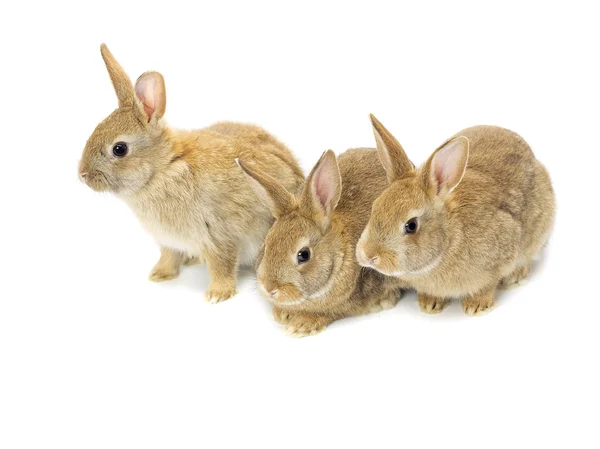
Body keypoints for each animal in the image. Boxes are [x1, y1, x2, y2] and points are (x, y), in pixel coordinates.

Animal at [78, 43, 304, 302]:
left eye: (119, 149)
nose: (82, 174)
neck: (164, 168)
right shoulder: (168, 241)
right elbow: (169, 256)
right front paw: (159, 275)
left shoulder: (218, 235)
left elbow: (222, 265)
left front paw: (217, 295)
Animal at [356, 114, 556, 314]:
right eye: (375, 207)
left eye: (411, 225)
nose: (369, 255)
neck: (449, 240)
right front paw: (429, 305)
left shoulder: (500, 255)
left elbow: (487, 285)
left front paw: (476, 306)